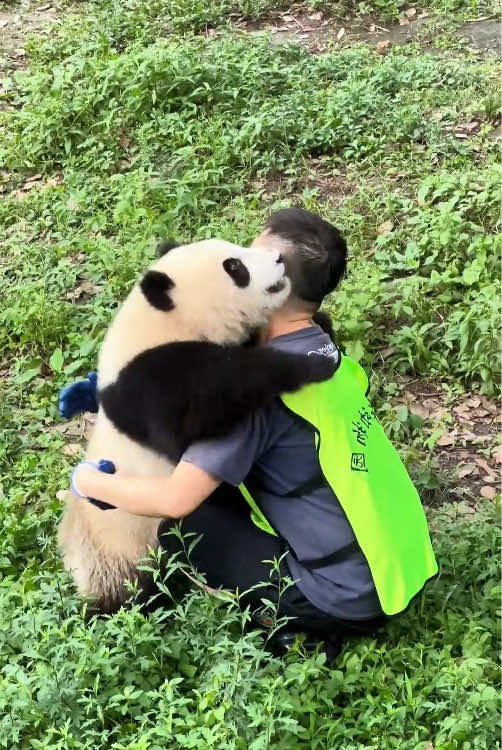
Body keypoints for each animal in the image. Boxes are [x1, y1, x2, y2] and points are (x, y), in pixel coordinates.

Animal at [58, 238, 334, 614]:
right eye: (235, 267)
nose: (279, 258)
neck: (162, 323)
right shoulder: (150, 384)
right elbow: (198, 413)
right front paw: (307, 365)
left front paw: (322, 323)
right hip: (120, 548)